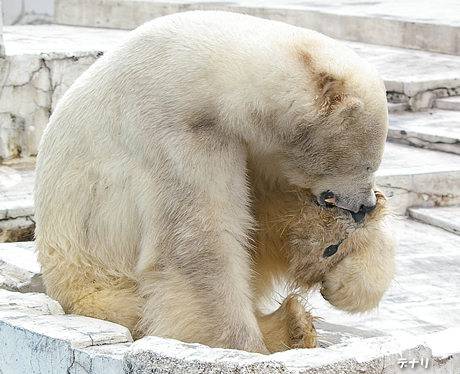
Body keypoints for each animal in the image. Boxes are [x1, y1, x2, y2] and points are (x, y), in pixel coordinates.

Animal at [34, 9, 390, 354]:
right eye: (367, 163)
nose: (365, 205)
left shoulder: (254, 151)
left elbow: (272, 221)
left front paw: (345, 273)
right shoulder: (177, 132)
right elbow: (202, 243)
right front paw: (246, 347)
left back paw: (295, 325)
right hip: (96, 282)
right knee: (139, 308)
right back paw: (289, 326)